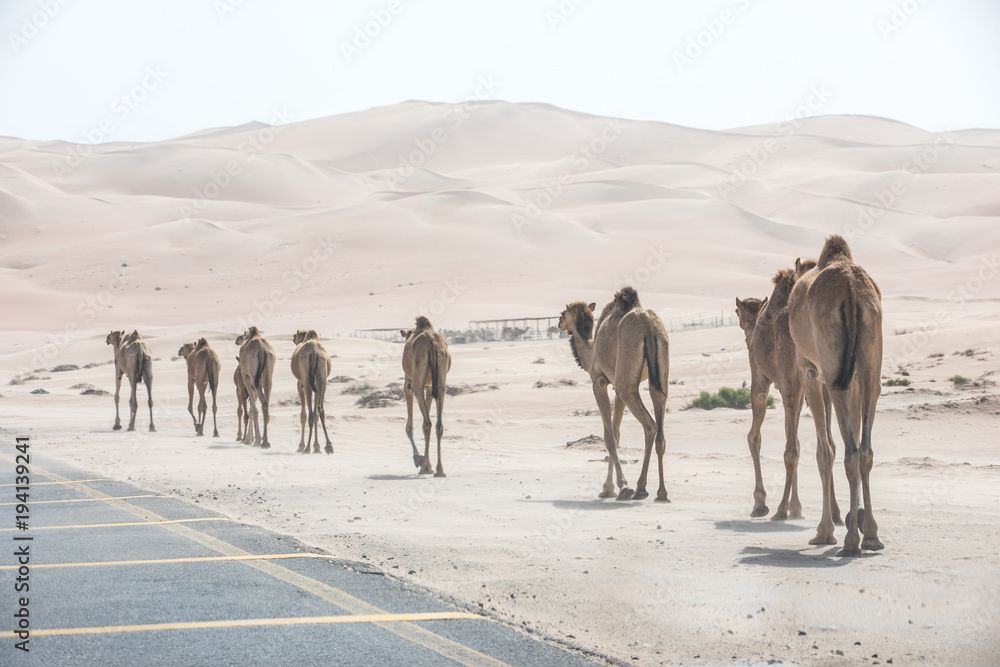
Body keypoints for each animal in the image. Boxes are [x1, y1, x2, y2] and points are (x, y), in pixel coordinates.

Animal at [400, 318, 452, 478]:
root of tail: (432, 344)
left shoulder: (408, 382)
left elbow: (409, 427)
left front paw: (419, 459)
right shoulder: (429, 386)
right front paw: (427, 463)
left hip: (417, 380)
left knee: (427, 423)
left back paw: (424, 467)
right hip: (441, 381)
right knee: (437, 424)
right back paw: (439, 470)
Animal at [560, 288, 668, 500]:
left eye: (563, 313)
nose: (558, 323)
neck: (591, 350)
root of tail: (648, 327)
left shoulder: (599, 382)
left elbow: (609, 436)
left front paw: (619, 487)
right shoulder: (615, 388)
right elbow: (617, 434)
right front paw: (608, 488)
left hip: (626, 384)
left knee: (650, 426)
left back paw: (640, 488)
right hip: (658, 376)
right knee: (660, 428)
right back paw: (660, 492)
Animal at [736, 264, 844, 524]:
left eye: (736, 312)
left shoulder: (761, 376)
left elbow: (754, 437)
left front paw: (761, 503)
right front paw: (797, 507)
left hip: (790, 381)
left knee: (791, 448)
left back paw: (780, 509)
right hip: (822, 381)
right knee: (828, 443)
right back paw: (835, 513)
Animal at [788, 236, 884, 560]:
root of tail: (852, 290)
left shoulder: (808, 369)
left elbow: (824, 450)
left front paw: (824, 532)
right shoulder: (849, 374)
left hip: (830, 366)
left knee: (849, 452)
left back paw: (851, 542)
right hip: (869, 359)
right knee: (865, 449)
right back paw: (871, 536)